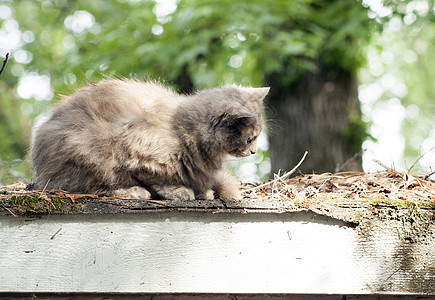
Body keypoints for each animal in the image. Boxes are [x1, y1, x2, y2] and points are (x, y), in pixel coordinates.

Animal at [30, 78, 270, 200]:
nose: (254, 151)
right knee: (87, 187)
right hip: (86, 152)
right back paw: (133, 192)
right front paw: (180, 191)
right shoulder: (137, 150)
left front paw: (204, 192)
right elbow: (158, 177)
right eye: (250, 139)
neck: (186, 129)